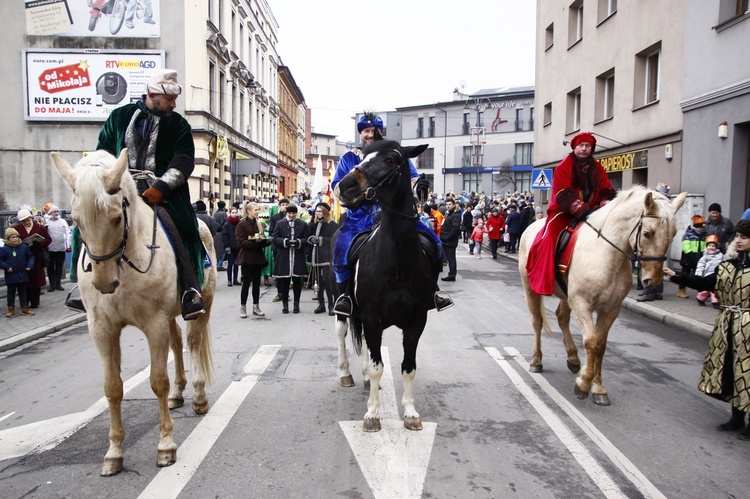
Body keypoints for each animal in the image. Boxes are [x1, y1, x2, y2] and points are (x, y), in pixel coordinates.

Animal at [51, 150, 216, 478]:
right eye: (75, 220)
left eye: (117, 217)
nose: (104, 283)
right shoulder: (102, 329)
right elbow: (113, 388)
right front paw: (114, 453)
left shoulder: (154, 323)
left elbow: (157, 381)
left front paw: (165, 446)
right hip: (170, 314)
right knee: (176, 342)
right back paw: (178, 394)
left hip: (202, 303)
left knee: (192, 342)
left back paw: (198, 396)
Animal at [334, 139, 434, 432]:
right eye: (362, 158)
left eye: (391, 160)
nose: (345, 186)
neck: (397, 261)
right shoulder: (371, 316)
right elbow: (378, 366)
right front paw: (372, 414)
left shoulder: (417, 320)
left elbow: (408, 367)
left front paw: (410, 413)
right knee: (342, 332)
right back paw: (346, 373)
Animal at [516, 188, 688, 406]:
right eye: (647, 233)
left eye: (673, 234)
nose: (653, 280)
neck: (606, 256)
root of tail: (534, 224)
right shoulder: (581, 303)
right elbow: (591, 341)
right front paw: (583, 384)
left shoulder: (611, 309)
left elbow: (601, 345)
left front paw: (598, 387)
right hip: (531, 289)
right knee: (537, 322)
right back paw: (537, 360)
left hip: (565, 294)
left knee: (562, 317)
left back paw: (573, 358)